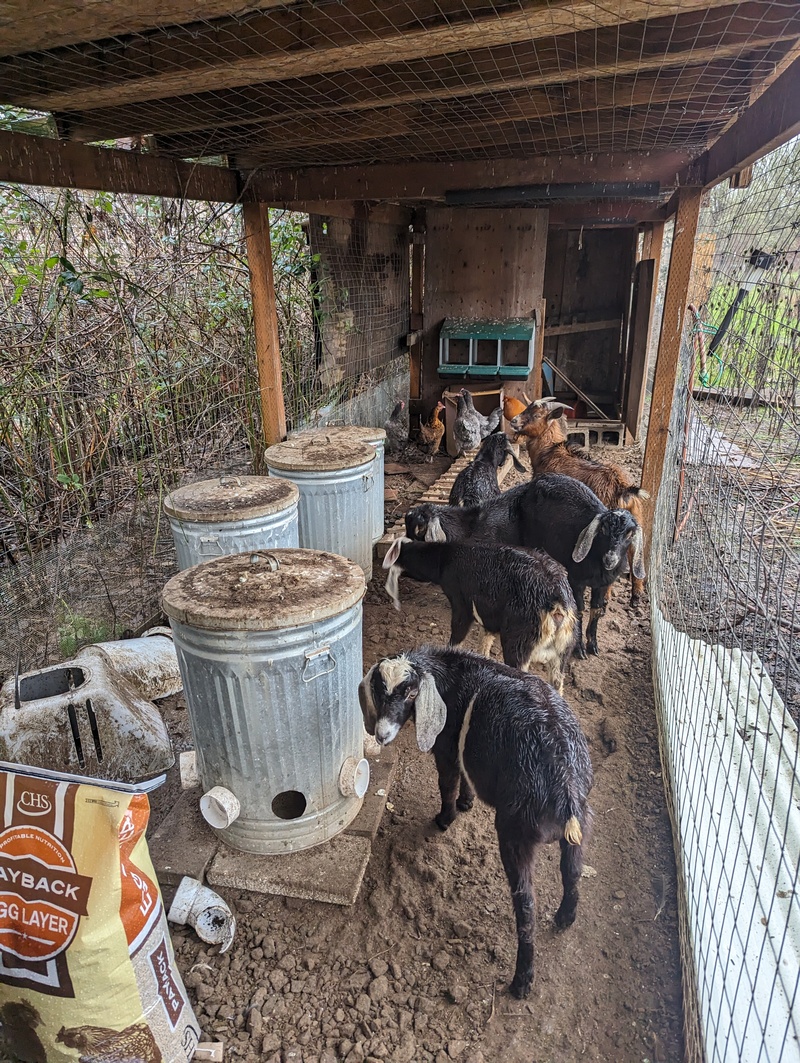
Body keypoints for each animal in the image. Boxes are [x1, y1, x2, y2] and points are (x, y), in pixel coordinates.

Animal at [359, 642, 590, 999]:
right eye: (378, 689)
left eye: (411, 692)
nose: (382, 735)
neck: (449, 676)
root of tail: (565, 786)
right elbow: (466, 777)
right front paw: (467, 803)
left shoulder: (446, 748)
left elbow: (448, 781)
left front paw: (445, 819)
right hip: (578, 827)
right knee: (573, 870)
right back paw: (566, 917)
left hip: (515, 831)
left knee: (526, 905)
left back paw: (521, 981)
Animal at [380, 540, 573, 697]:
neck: (444, 559)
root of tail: (557, 603)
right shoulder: (488, 617)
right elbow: (485, 641)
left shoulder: (460, 603)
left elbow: (457, 635)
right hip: (562, 652)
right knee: (558, 682)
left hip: (518, 644)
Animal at [512, 399, 650, 603]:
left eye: (536, 415)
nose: (514, 421)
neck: (551, 452)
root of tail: (623, 488)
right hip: (636, 520)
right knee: (635, 553)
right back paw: (636, 594)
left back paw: (607, 595)